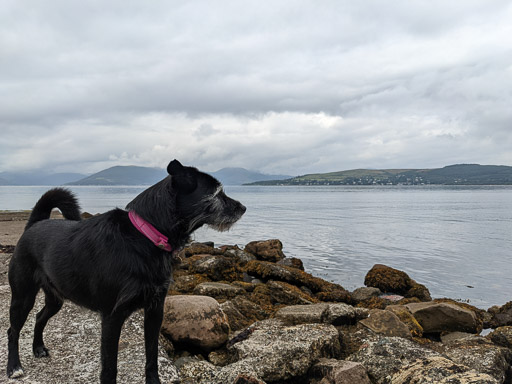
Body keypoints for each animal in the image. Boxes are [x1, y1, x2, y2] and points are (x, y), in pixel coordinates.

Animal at [6, 159, 246, 380]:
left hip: (56, 298)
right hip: (22, 295)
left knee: (39, 317)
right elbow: (110, 368)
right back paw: (14, 367)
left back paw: (38, 348)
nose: (243, 208)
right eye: (217, 193)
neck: (146, 235)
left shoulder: (155, 311)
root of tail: (34, 225)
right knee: (13, 330)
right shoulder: (112, 317)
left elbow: (152, 357)